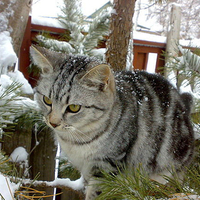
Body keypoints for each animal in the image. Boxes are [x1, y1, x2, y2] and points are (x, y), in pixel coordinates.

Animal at [30, 46, 194, 199]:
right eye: (47, 100)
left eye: (74, 107)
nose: (53, 122)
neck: (76, 140)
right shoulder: (86, 168)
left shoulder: (107, 165)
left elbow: (98, 193)